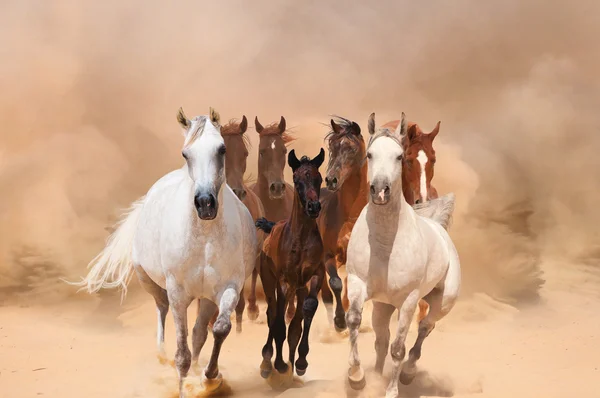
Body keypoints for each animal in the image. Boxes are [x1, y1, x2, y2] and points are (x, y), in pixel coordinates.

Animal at [72, 107, 255, 396]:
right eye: (186, 154)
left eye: (221, 149)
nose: (205, 203)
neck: (205, 238)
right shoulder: (178, 292)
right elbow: (182, 353)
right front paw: (182, 384)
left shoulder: (228, 287)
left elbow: (219, 329)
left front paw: (209, 377)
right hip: (150, 281)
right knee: (161, 309)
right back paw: (161, 355)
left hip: (205, 297)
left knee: (199, 333)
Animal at [255, 148, 326, 384]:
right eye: (297, 180)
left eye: (319, 178)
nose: (313, 207)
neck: (301, 241)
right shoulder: (284, 281)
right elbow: (278, 323)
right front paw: (278, 364)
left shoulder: (315, 275)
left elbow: (306, 313)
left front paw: (300, 362)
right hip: (270, 281)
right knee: (272, 312)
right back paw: (268, 362)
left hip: (298, 288)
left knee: (293, 322)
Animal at [342, 112, 460, 398]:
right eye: (370, 154)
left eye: (398, 156)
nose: (380, 190)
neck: (385, 243)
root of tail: (439, 227)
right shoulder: (357, 284)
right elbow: (354, 321)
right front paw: (357, 377)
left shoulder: (408, 301)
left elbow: (399, 348)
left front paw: (391, 390)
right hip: (383, 306)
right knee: (381, 339)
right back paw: (376, 374)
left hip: (442, 302)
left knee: (425, 327)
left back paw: (408, 372)